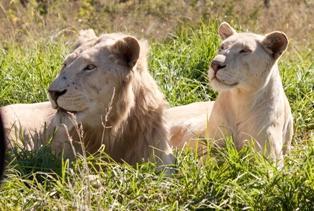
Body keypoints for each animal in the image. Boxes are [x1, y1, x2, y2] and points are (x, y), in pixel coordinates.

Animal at [168, 22, 294, 165]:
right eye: (222, 47)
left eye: (244, 50)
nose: (215, 64)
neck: (240, 100)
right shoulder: (211, 145)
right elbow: (209, 160)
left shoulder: (270, 159)